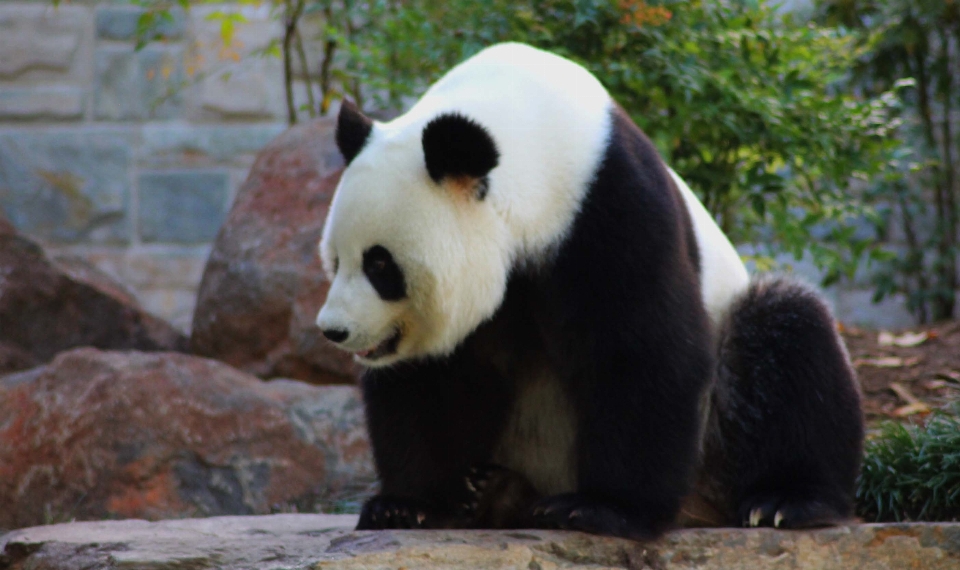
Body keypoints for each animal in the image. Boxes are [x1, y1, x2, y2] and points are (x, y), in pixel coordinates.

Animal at [316, 43, 864, 536]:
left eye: (380, 265)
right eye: (336, 260)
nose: (333, 331)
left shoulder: (608, 205)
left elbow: (641, 349)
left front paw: (603, 509)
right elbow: (428, 380)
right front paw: (407, 506)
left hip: (717, 435)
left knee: (784, 333)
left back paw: (785, 501)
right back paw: (496, 493)